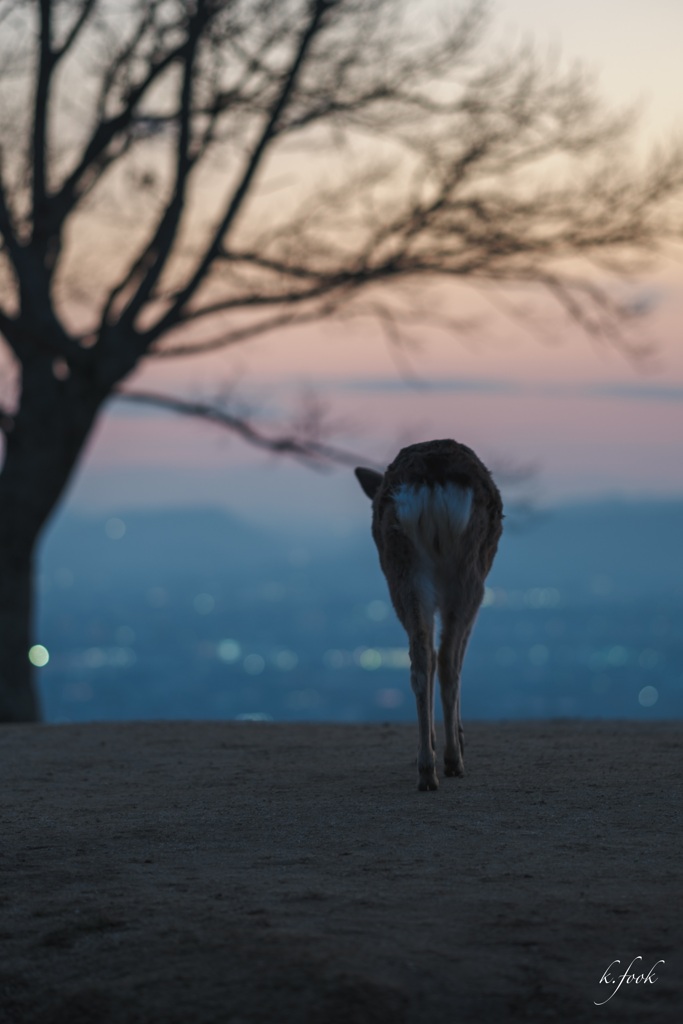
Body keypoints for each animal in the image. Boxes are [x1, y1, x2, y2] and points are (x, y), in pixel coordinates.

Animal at [358, 440, 501, 790]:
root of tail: (432, 478)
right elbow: (460, 655)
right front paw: (459, 738)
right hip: (468, 575)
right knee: (448, 658)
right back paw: (452, 760)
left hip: (402, 569)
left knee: (422, 656)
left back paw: (426, 768)